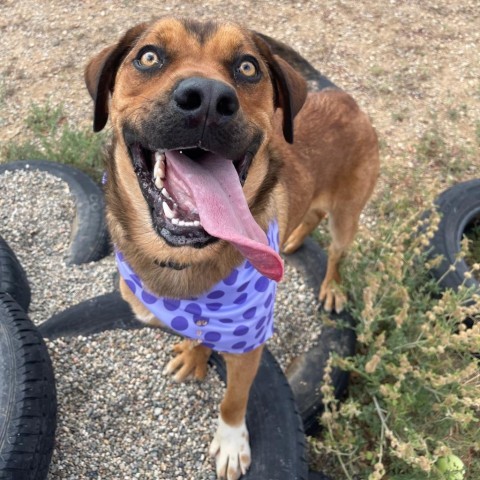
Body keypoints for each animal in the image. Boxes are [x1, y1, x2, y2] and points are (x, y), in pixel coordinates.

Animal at [84, 16, 380, 478]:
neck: (183, 262)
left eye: (247, 67)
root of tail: (342, 96)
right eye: (148, 57)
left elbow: (234, 400)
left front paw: (230, 442)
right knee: (310, 214)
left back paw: (331, 286)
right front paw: (196, 354)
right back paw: (293, 238)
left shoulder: (249, 345)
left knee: (337, 250)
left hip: (347, 215)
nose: (207, 98)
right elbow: (200, 333)